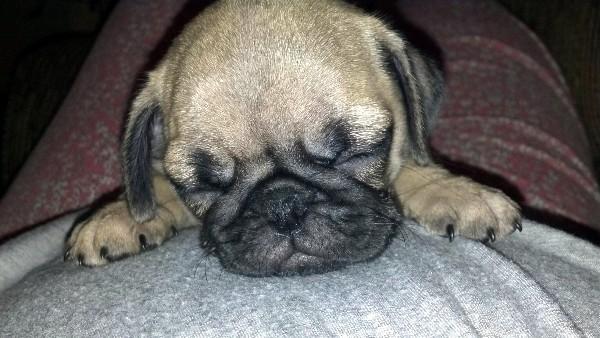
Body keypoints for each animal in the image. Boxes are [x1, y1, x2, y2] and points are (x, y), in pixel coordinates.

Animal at [62, 0, 520, 276]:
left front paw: (454, 191)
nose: (282, 205)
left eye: (352, 153)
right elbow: (151, 182)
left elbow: (410, 161)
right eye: (206, 185)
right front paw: (123, 214)